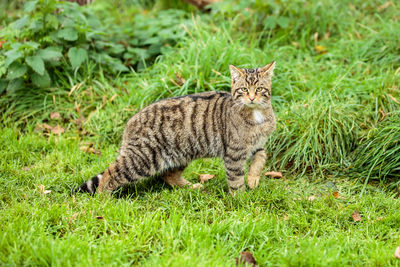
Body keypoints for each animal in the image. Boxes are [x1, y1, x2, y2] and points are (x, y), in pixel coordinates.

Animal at [79, 62, 276, 195]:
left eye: (259, 89)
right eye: (243, 89)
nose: (252, 98)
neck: (257, 115)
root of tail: (130, 121)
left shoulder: (256, 145)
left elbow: (261, 158)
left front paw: (253, 179)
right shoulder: (234, 152)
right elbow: (235, 180)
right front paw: (241, 200)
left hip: (181, 153)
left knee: (168, 176)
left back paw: (191, 187)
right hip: (143, 158)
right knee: (110, 173)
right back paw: (103, 199)